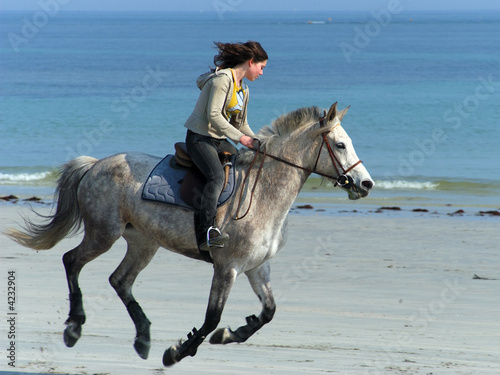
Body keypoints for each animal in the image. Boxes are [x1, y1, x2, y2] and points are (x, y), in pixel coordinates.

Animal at [5, 103, 374, 368]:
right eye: (340, 144)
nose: (366, 184)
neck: (262, 195)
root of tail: (95, 164)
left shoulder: (257, 267)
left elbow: (268, 311)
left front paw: (230, 334)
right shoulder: (227, 268)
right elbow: (211, 318)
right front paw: (178, 351)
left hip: (143, 243)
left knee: (119, 280)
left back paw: (142, 337)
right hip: (103, 234)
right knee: (72, 261)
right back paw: (75, 326)